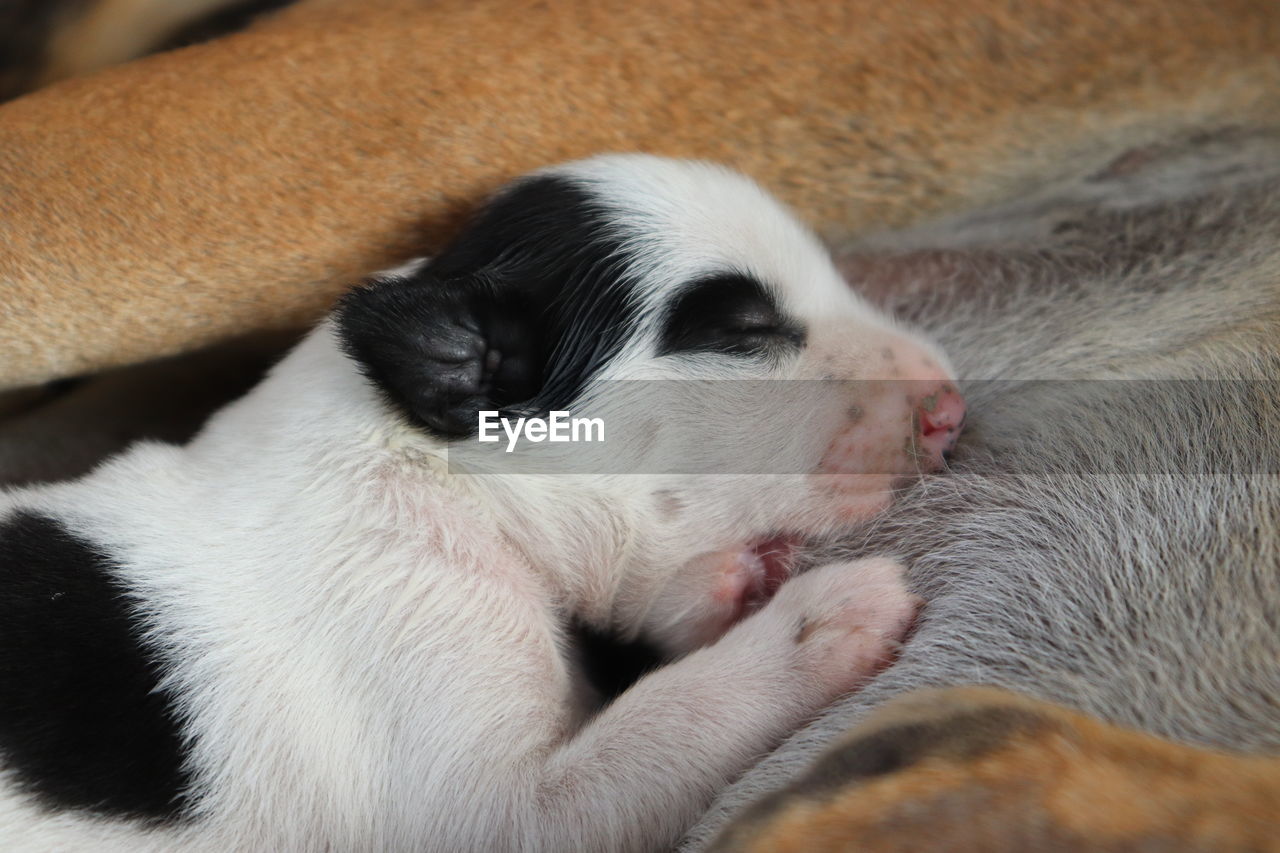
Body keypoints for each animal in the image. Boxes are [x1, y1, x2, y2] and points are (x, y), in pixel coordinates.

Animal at [0, 154, 962, 850]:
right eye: (744, 331)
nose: (951, 406)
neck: (440, 465)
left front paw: (744, 581)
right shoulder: (488, 800)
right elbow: (665, 719)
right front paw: (818, 617)